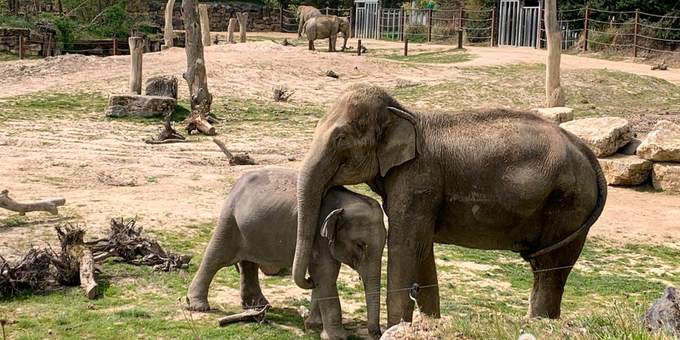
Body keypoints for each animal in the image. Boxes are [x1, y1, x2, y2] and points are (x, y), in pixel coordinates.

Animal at [189, 168, 386, 340]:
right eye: (360, 245)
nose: (377, 333)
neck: (346, 201)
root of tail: (237, 183)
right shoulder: (318, 236)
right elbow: (326, 274)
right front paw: (336, 337)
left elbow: (326, 275)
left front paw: (313, 324)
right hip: (229, 220)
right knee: (216, 257)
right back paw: (199, 306)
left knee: (248, 263)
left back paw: (260, 306)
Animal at [290, 84, 608, 326]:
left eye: (340, 138)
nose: (309, 280)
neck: (406, 113)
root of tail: (586, 152)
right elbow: (422, 248)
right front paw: (429, 323)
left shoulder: (418, 179)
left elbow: (405, 246)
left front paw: (394, 328)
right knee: (552, 269)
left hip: (567, 204)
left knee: (550, 267)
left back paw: (537, 323)